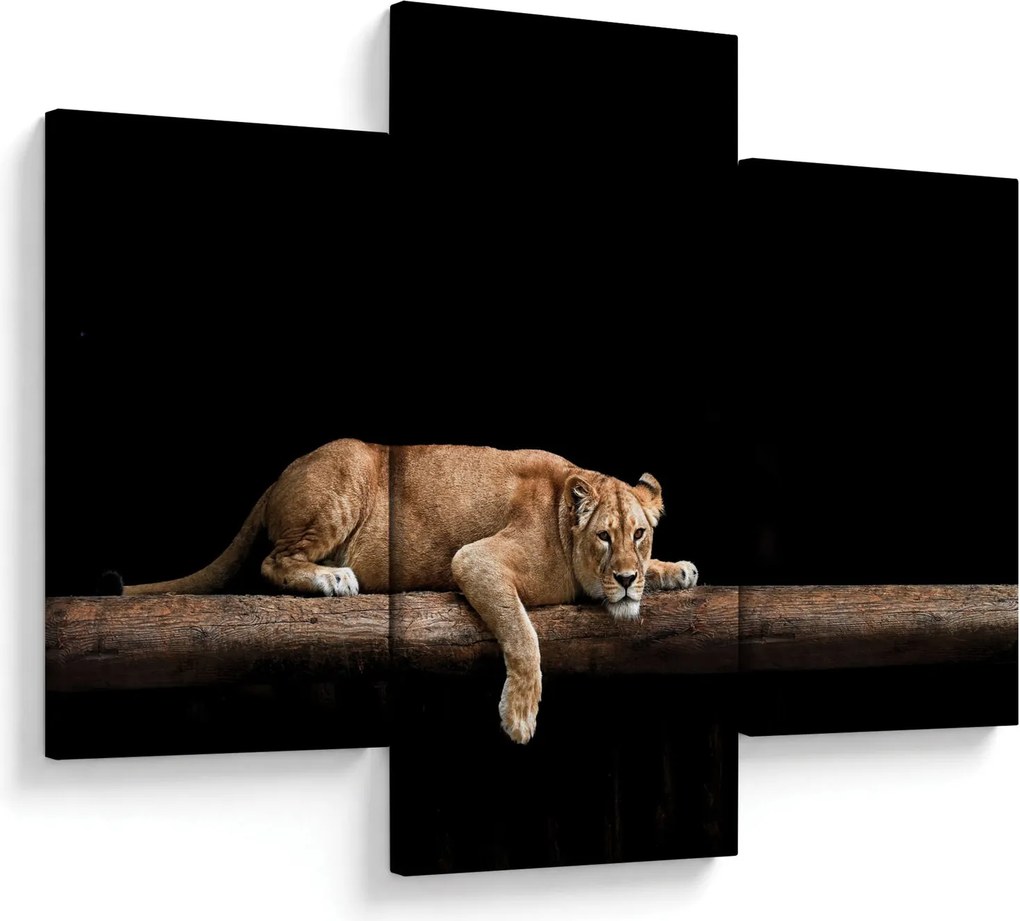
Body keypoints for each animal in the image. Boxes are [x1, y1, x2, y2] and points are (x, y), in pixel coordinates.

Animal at [112, 439, 698, 743]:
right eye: (604, 537)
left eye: (639, 535)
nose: (625, 579)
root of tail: (281, 474)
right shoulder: (476, 560)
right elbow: (523, 635)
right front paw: (519, 715)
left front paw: (675, 570)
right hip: (344, 480)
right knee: (272, 561)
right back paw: (333, 577)